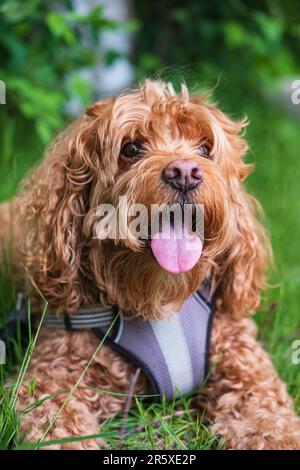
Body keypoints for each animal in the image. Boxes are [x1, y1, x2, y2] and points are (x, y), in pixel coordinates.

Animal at [0, 79, 300, 450]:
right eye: (131, 148)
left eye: (205, 148)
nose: (184, 172)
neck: (157, 300)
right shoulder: (50, 376)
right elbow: (55, 422)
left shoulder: (247, 371)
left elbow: (270, 419)